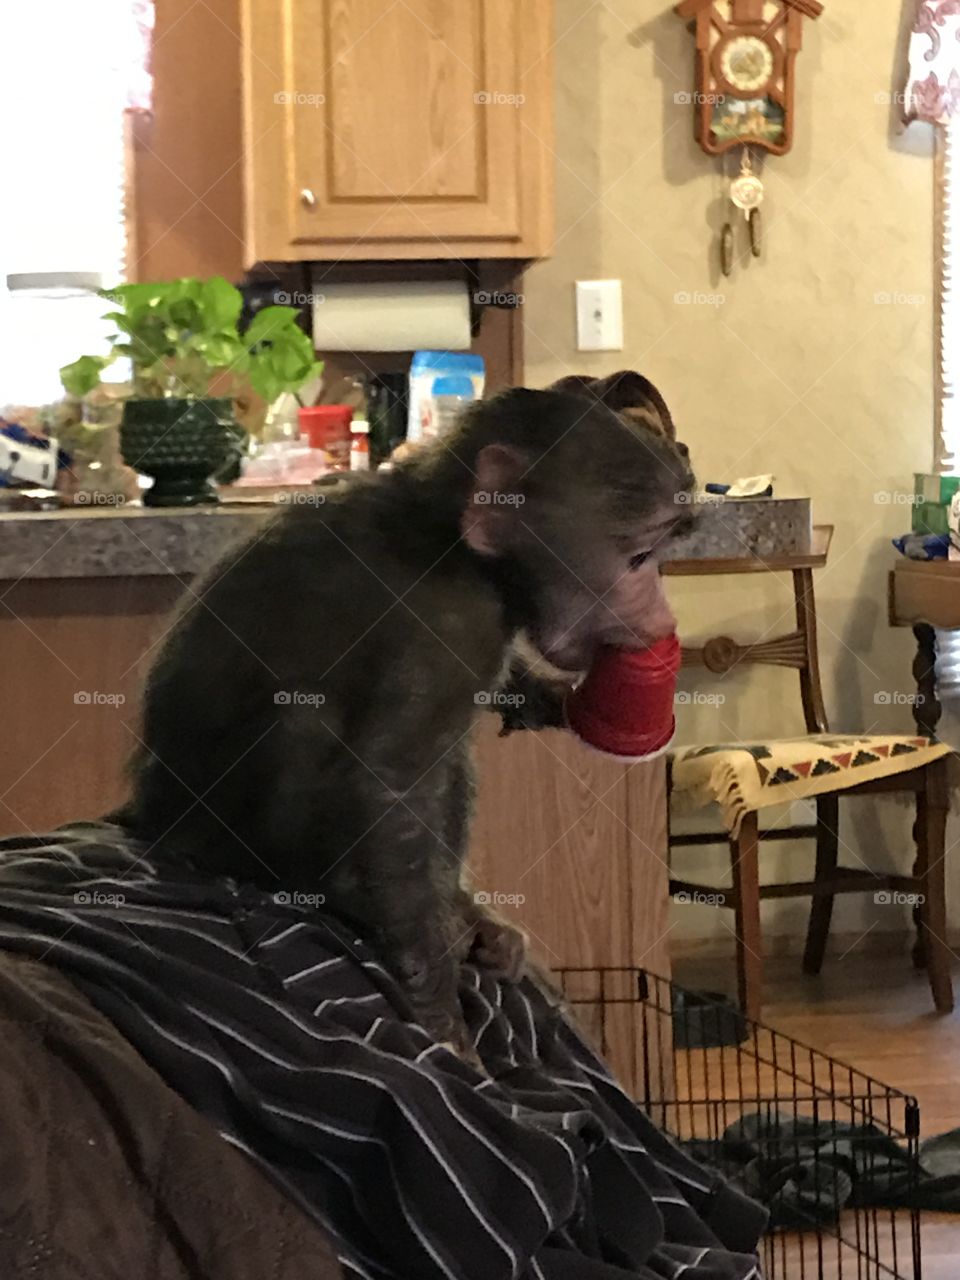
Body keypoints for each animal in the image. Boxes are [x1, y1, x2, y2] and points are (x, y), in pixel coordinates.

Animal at [123, 380, 694, 1053]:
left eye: (661, 552)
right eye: (638, 558)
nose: (661, 613)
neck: (452, 535)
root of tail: (149, 822)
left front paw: (558, 699)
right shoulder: (445, 620)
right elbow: (388, 784)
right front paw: (440, 1015)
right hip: (230, 840)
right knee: (314, 728)